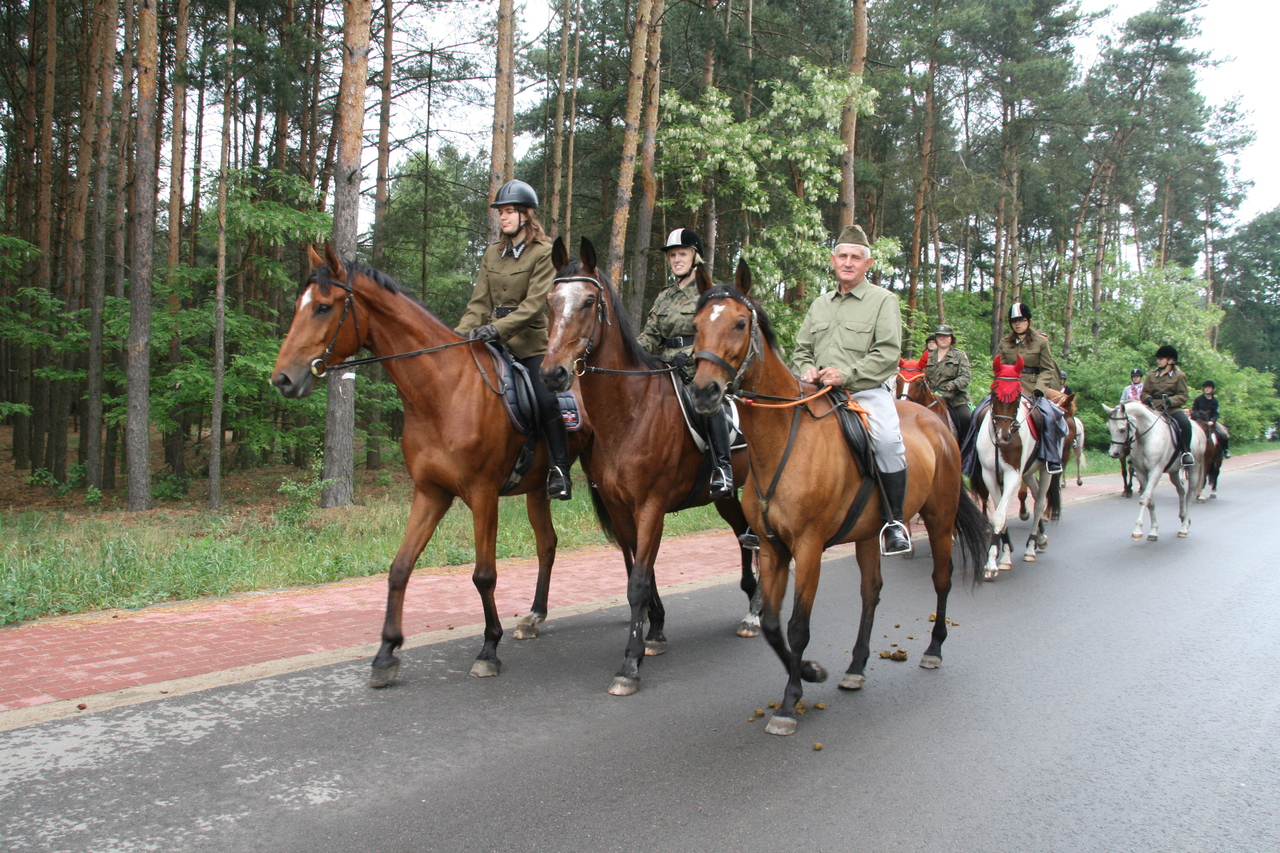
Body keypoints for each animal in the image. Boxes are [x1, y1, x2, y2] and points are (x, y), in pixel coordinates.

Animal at [273, 239, 588, 686]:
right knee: (547, 544)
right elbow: (400, 567)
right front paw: (386, 653)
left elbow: (484, 574)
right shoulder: (430, 492)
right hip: (536, 491)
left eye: (322, 307)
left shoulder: (482, 495)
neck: (443, 389)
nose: (282, 379)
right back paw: (534, 616)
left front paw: (488, 649)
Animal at [540, 235, 757, 696]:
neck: (630, 412)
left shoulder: (651, 505)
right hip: (724, 498)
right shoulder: (622, 510)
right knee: (743, 534)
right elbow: (637, 571)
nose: (552, 373)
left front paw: (629, 663)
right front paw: (652, 635)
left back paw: (755, 611)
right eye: (550, 301)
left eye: (588, 301)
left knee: (753, 535)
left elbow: (639, 580)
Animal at [686, 268, 983, 732]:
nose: (703, 392)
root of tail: (937, 422)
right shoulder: (772, 547)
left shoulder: (808, 547)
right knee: (871, 591)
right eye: (696, 326)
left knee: (942, 578)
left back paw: (934, 650)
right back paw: (856, 667)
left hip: (940, 518)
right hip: (868, 534)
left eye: (739, 322)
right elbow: (771, 624)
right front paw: (810, 672)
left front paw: (789, 704)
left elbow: (798, 625)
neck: (782, 442)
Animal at [967, 356, 1070, 581]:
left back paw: (1031, 547)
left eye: (1015, 398)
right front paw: (1003, 556)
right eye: (994, 394)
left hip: (1045, 471)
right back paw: (1040, 537)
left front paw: (991, 565)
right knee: (1035, 492)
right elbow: (1001, 515)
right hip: (1028, 472)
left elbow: (1000, 515)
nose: (1004, 436)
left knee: (1039, 504)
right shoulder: (990, 475)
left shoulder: (1013, 475)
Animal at [1105, 399, 1203, 537]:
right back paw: (1184, 517)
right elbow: (1150, 500)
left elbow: (1145, 498)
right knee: (1181, 490)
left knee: (1190, 495)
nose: (1113, 453)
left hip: (1194, 469)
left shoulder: (1155, 471)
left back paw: (1183, 528)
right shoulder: (1141, 473)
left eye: (1122, 429)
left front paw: (1137, 530)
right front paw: (1153, 531)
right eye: (1109, 427)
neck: (1146, 438)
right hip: (1174, 471)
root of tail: (1199, 428)